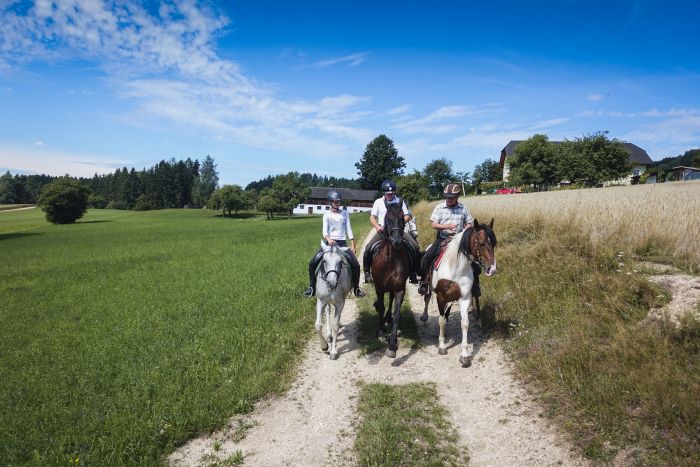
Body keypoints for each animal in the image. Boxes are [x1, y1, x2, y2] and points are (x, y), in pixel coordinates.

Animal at [370, 203, 412, 360]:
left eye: (402, 218)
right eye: (388, 219)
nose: (397, 242)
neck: (390, 260)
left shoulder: (399, 289)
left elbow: (396, 314)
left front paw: (392, 345)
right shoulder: (379, 287)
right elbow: (381, 307)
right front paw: (381, 331)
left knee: (391, 300)